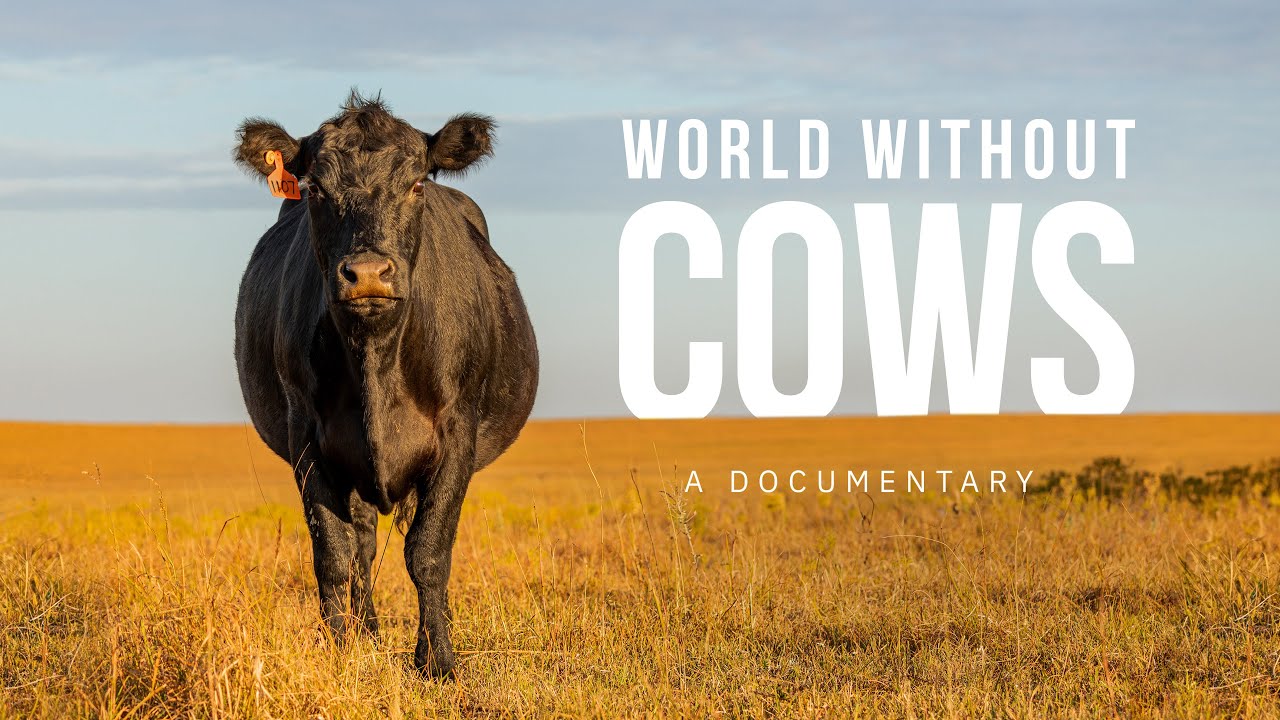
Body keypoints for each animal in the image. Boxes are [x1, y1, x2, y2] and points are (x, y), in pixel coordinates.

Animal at [231, 92, 538, 678]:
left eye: (416, 183)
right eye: (315, 189)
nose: (369, 273)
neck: (376, 360)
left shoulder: (457, 434)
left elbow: (429, 551)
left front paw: (437, 660)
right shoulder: (307, 436)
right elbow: (334, 552)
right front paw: (339, 649)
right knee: (363, 544)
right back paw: (367, 632)